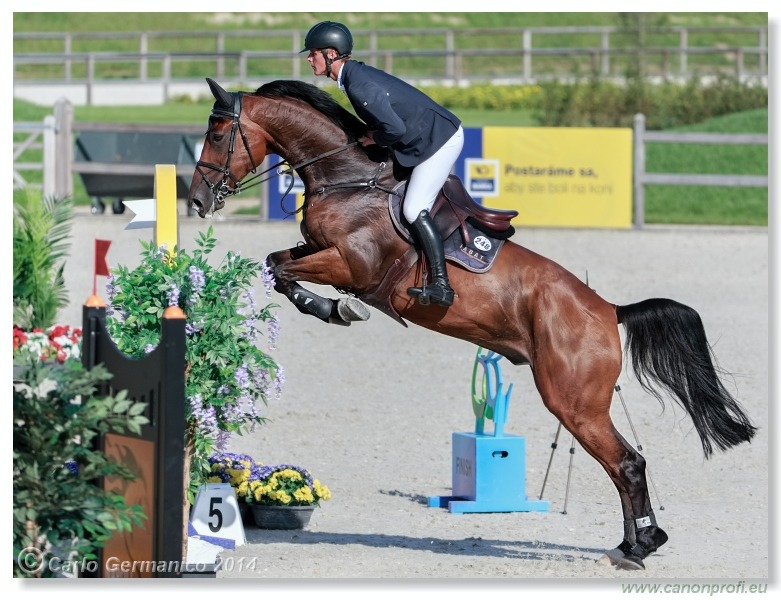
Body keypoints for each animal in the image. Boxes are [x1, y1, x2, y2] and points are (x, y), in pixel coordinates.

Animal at [186, 77, 752, 568]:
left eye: (216, 133)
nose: (196, 201)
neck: (349, 179)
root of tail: (608, 310)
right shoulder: (318, 251)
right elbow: (276, 262)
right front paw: (327, 307)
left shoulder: (352, 265)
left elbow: (285, 270)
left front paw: (337, 309)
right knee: (622, 466)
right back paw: (631, 543)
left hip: (573, 402)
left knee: (627, 463)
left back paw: (638, 547)